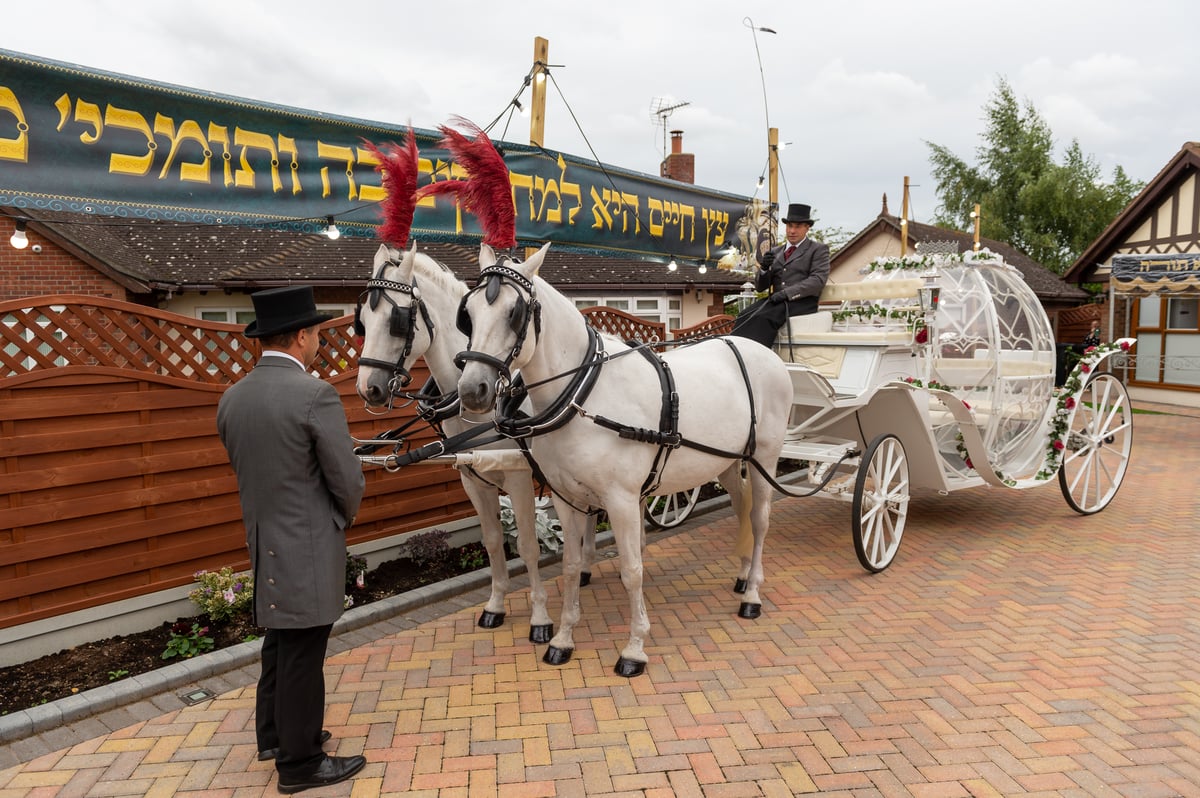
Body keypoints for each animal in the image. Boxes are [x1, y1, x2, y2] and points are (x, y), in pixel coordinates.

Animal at [352, 241, 564, 643]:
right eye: (363, 322)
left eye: (397, 321)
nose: (368, 389)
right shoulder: (473, 479)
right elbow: (493, 542)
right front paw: (495, 606)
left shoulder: (517, 478)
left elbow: (527, 546)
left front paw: (541, 617)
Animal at [453, 244, 792, 676]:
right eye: (469, 312)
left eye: (515, 312)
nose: (472, 390)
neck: (583, 394)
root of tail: (762, 352)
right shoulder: (567, 498)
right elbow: (569, 565)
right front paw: (562, 640)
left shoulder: (622, 500)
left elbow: (632, 571)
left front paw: (634, 648)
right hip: (729, 461)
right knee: (741, 507)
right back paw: (743, 575)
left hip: (766, 455)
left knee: (760, 519)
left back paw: (752, 595)